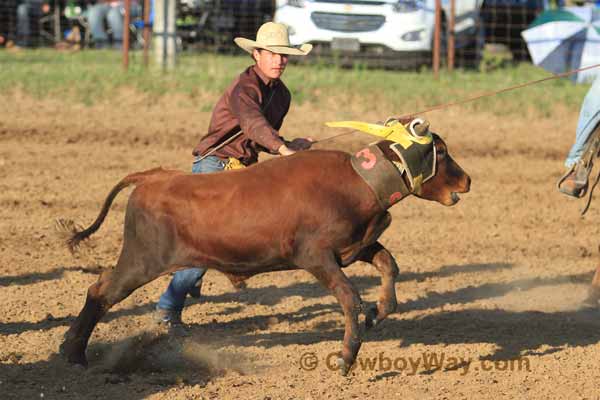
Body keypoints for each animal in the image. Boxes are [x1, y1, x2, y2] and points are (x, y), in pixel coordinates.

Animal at [61, 135, 472, 376]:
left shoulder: (355, 247)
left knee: (100, 287)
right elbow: (349, 297)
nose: (467, 180)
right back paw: (75, 353)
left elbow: (389, 265)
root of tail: (154, 177)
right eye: (441, 152)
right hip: (142, 261)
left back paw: (73, 348)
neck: (356, 181)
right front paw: (346, 355)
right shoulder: (316, 256)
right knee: (100, 293)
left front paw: (379, 311)